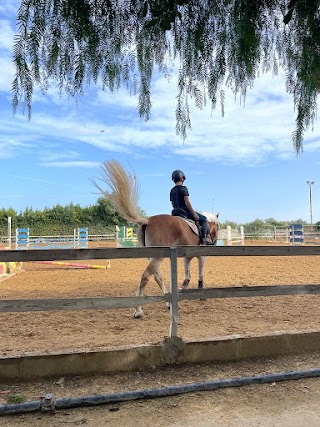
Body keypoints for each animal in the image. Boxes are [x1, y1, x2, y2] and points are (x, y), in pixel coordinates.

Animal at [93, 160, 220, 318]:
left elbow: (187, 273)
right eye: (217, 228)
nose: (214, 241)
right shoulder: (202, 254)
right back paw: (138, 310)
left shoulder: (187, 256)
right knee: (146, 276)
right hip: (157, 257)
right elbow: (200, 273)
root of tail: (147, 221)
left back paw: (167, 303)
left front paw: (184, 286)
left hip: (153, 255)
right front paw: (201, 294)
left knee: (157, 277)